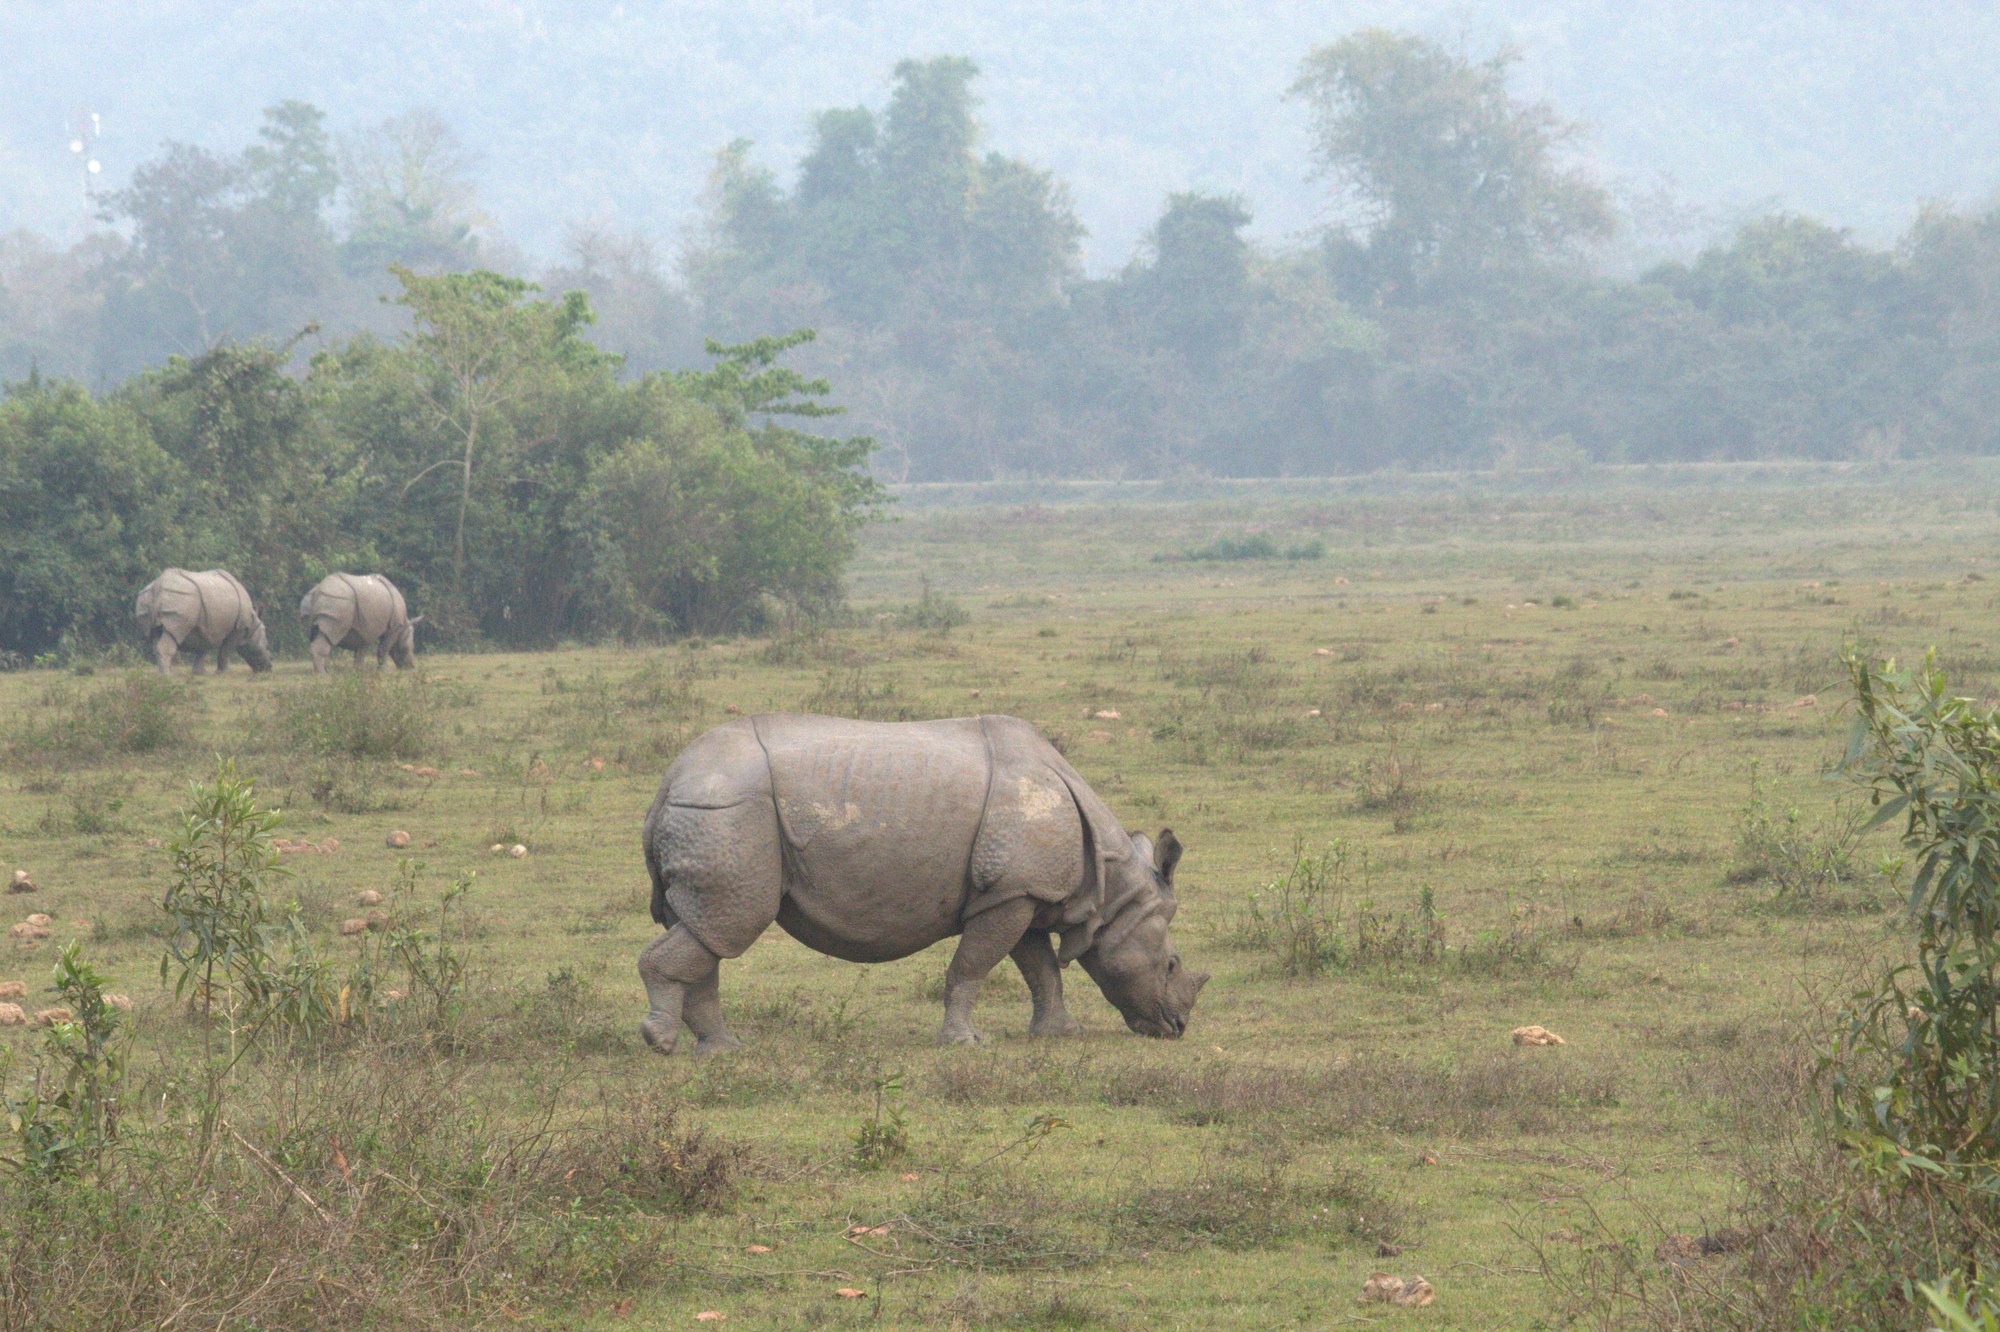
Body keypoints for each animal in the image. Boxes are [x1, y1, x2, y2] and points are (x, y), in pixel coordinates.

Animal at [134, 568, 271, 674]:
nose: (268, 668)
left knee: (154, 635)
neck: (252, 623)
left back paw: (163, 673)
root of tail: (158, 584)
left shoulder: (206, 627)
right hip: (181, 598)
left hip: (149, 598)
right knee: (173, 632)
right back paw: (168, 675)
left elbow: (202, 648)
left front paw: (200, 673)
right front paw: (223, 673)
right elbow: (225, 650)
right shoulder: (238, 628)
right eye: (265, 644)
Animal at [638, 713, 1209, 1054]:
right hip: (729, 813)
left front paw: (1059, 1034)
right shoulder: (1011, 893)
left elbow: (1041, 968)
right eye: (1171, 964)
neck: (1110, 889)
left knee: (707, 930)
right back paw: (660, 1043)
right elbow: (973, 966)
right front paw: (964, 1043)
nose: (1177, 1028)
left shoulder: (1019, 892)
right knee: (732, 922)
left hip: (712, 815)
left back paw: (721, 1051)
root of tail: (669, 781)